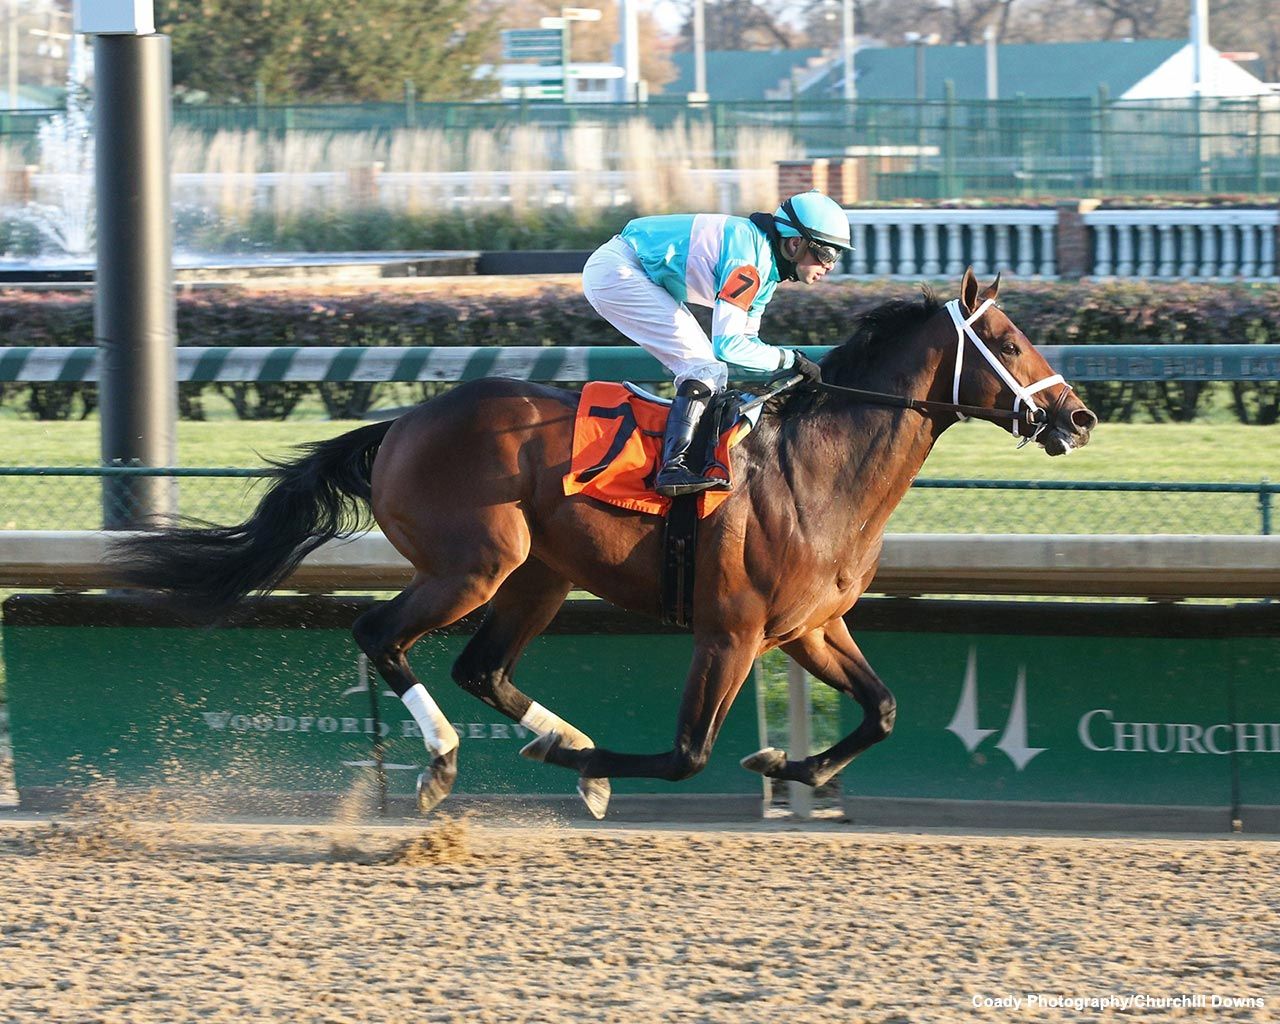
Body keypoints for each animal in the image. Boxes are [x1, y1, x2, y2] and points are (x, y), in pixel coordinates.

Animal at [112, 269, 1097, 819]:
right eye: (1010, 340)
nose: (1080, 417)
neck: (816, 472)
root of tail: (400, 424)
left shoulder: (811, 627)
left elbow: (883, 710)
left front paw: (789, 764)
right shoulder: (731, 632)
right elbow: (687, 753)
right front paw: (599, 765)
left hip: (538, 577)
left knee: (481, 668)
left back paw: (555, 738)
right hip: (475, 565)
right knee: (379, 635)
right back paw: (449, 760)